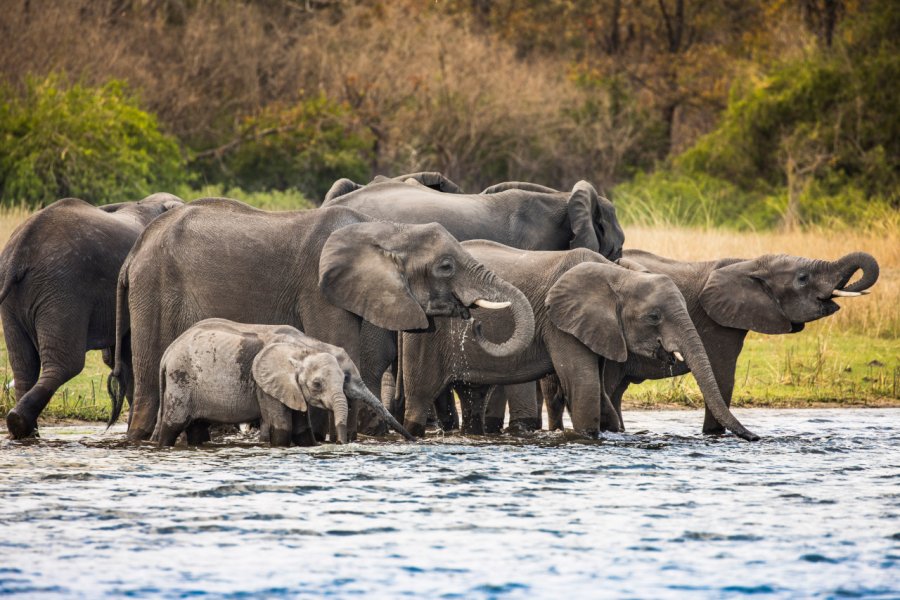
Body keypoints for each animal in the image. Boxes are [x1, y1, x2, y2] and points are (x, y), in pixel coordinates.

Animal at [0, 195, 185, 438]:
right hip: (63, 289)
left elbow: (124, 357)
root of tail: (19, 251)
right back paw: (20, 423)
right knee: (66, 364)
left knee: (24, 366)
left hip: (19, 299)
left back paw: (24, 430)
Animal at [151, 318, 412, 446]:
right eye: (317, 385)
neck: (304, 347)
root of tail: (167, 353)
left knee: (196, 427)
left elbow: (301, 428)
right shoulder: (266, 386)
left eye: (344, 378)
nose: (412, 440)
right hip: (180, 381)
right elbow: (283, 427)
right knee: (173, 424)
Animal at [400, 241, 760, 442]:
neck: (618, 276)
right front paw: (587, 438)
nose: (754, 437)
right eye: (654, 317)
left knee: (473, 395)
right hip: (426, 335)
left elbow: (599, 390)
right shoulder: (559, 322)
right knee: (420, 394)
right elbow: (584, 385)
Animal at [540, 250, 880, 436]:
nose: (755, 438)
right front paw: (714, 434)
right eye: (803, 278)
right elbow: (721, 374)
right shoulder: (717, 322)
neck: (749, 263)